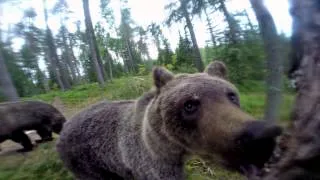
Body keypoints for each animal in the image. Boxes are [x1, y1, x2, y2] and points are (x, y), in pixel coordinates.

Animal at [56, 61, 282, 179]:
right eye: (189, 104)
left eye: (231, 95)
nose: (261, 137)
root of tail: (66, 124)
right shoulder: (153, 163)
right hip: (86, 162)